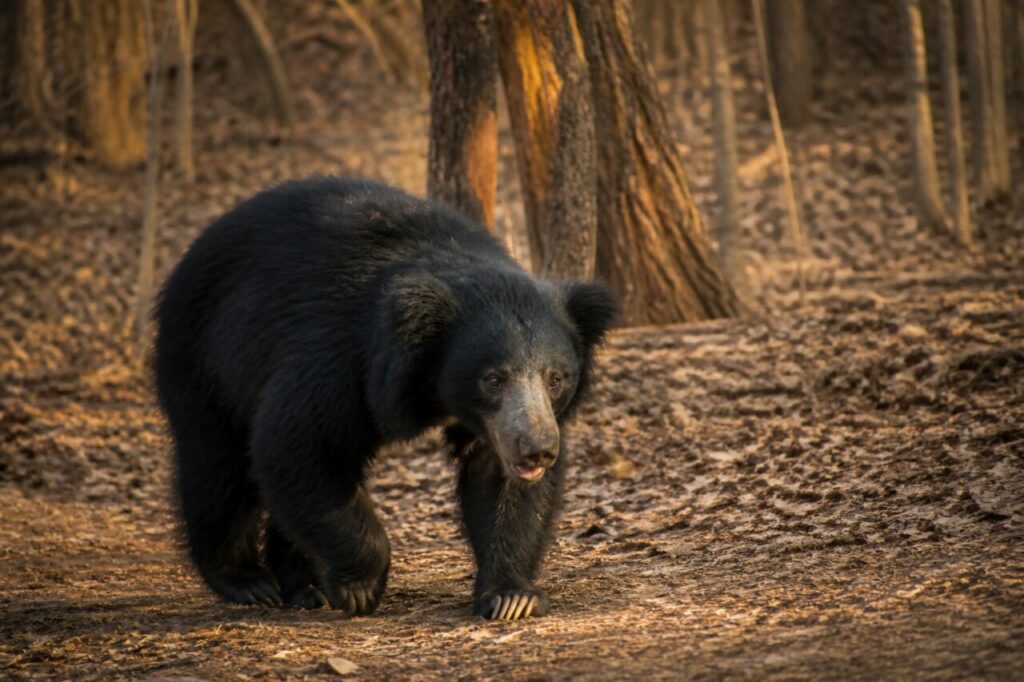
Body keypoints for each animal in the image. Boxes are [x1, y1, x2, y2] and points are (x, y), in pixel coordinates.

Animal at [154, 177, 615, 621]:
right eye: (493, 379)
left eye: (555, 379)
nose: (537, 450)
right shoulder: (339, 359)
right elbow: (299, 447)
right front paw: (361, 587)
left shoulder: (497, 428)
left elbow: (500, 480)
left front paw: (512, 597)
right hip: (200, 358)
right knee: (218, 467)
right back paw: (248, 582)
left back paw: (305, 587)